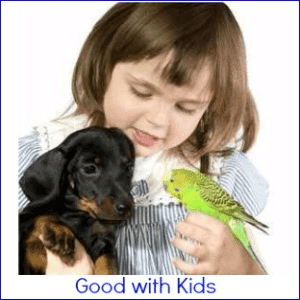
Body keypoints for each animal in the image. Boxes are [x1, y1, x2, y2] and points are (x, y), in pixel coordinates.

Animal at [18, 126, 135, 274]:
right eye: (89, 168)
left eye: (129, 168)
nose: (126, 207)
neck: (79, 214)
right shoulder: (24, 225)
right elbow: (42, 215)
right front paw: (59, 230)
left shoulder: (104, 239)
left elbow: (108, 263)